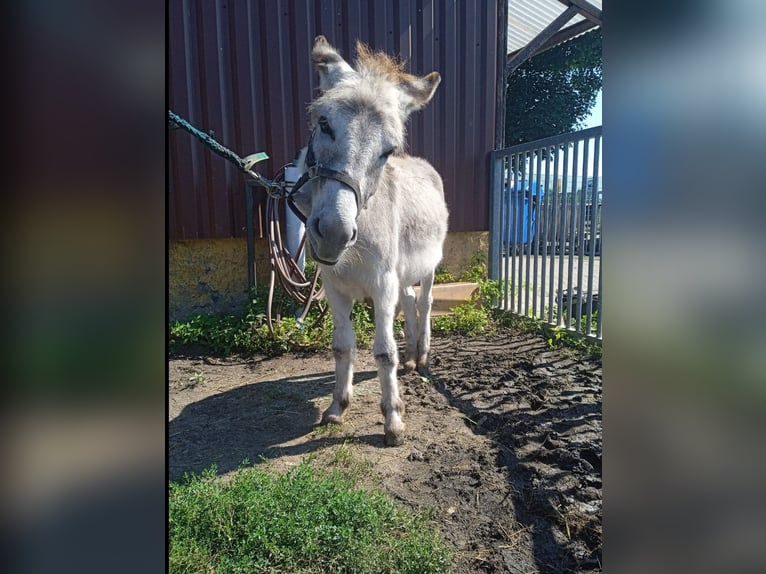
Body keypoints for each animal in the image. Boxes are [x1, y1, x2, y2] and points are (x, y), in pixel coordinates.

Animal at [287, 36, 448, 446]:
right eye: (324, 124)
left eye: (387, 151)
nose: (334, 232)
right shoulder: (334, 287)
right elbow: (342, 346)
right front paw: (336, 408)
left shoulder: (381, 286)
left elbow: (383, 353)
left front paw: (393, 419)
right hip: (401, 275)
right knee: (409, 303)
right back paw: (412, 356)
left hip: (427, 268)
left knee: (424, 303)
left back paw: (422, 355)